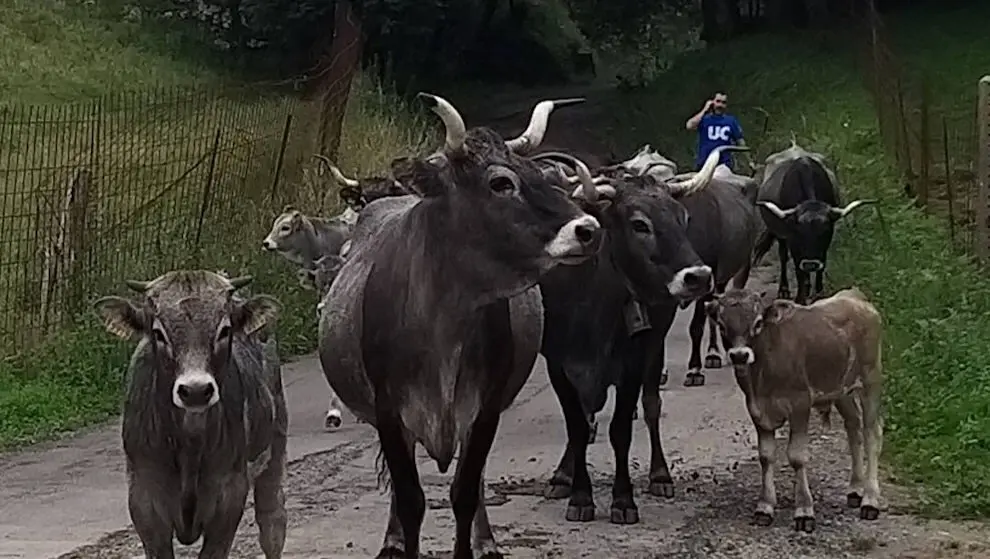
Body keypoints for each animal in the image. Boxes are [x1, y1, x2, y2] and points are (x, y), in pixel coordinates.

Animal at [92, 271, 288, 558]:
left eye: (225, 330)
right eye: (158, 333)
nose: (195, 390)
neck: (189, 445)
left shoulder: (229, 497)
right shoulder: (144, 499)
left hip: (275, 447)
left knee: (272, 523)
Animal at [316, 93, 601, 558]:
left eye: (544, 178)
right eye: (501, 183)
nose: (588, 229)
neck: (441, 322)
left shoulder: (484, 409)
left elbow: (465, 492)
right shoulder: (389, 411)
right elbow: (410, 499)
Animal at [532, 147, 734, 524]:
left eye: (683, 218)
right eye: (640, 224)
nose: (699, 276)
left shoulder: (633, 363)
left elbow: (621, 429)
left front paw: (623, 500)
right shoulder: (558, 365)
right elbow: (577, 427)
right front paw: (579, 495)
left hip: (654, 350)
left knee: (652, 405)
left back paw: (660, 475)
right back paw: (563, 476)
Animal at [703, 287, 884, 532]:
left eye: (758, 323)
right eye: (722, 325)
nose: (739, 355)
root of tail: (854, 296)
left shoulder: (800, 404)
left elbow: (797, 457)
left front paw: (804, 510)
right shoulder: (756, 410)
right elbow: (766, 456)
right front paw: (765, 506)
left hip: (870, 380)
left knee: (871, 434)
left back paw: (870, 499)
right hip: (840, 390)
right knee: (853, 426)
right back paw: (855, 489)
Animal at [753, 139, 874, 304]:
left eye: (824, 231)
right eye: (798, 232)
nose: (810, 264)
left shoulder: (825, 243)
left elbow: (821, 265)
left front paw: (818, 293)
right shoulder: (792, 239)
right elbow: (797, 267)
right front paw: (800, 298)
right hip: (780, 236)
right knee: (783, 256)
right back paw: (784, 289)